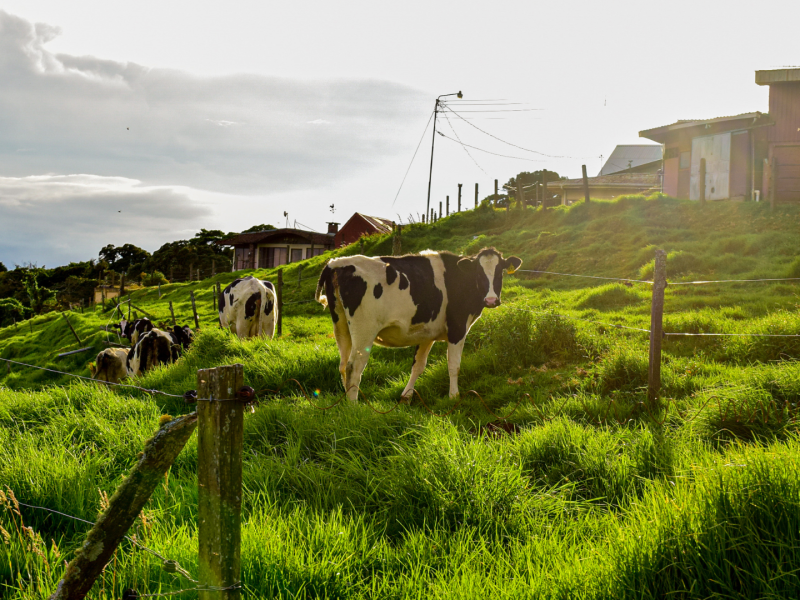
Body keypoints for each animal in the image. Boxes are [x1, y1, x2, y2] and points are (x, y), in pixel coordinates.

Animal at [316, 246, 520, 400]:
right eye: (479, 273)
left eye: (500, 271)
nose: (491, 300)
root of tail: (336, 262)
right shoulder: (458, 327)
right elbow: (454, 364)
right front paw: (454, 396)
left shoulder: (427, 333)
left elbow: (418, 365)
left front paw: (406, 395)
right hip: (364, 329)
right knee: (353, 368)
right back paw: (354, 407)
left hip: (341, 326)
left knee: (343, 365)